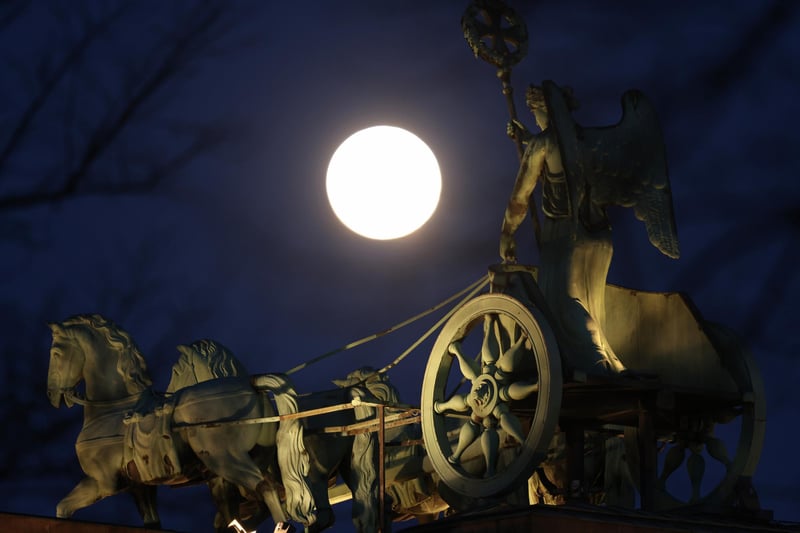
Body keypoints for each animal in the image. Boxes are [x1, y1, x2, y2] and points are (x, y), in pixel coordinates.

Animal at [45, 314, 316, 528]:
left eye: (56, 353)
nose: (53, 395)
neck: (114, 408)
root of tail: (251, 382)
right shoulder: (141, 485)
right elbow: (152, 523)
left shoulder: (105, 482)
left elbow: (63, 507)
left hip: (226, 461)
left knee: (265, 488)